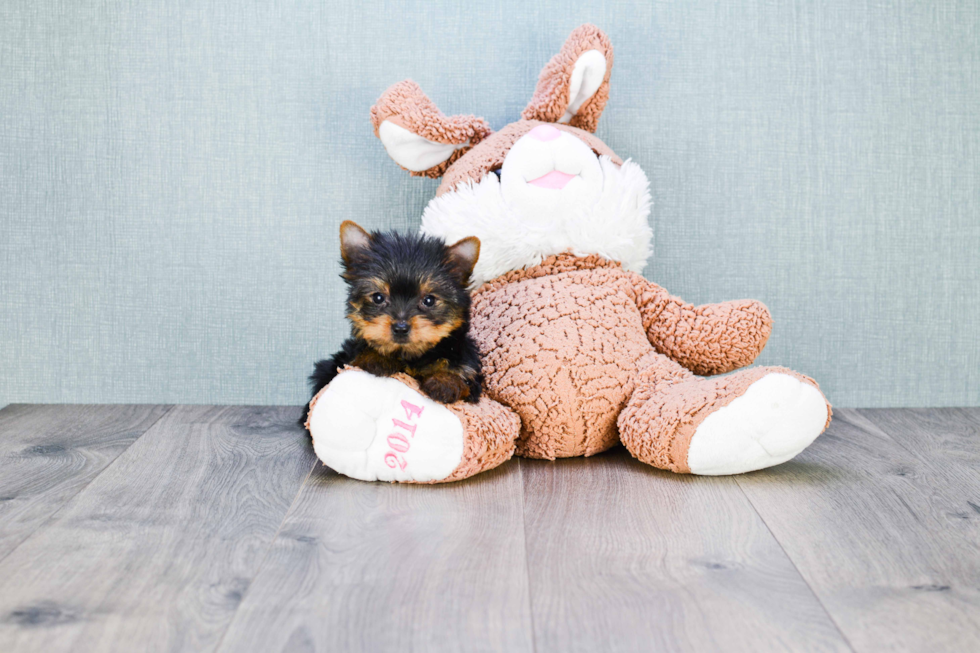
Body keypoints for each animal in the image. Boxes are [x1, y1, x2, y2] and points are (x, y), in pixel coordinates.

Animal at [300, 219, 480, 426]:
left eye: (429, 300)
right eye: (378, 297)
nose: (400, 327)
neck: (408, 355)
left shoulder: (468, 367)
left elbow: (461, 374)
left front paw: (446, 381)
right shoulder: (348, 358)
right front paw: (377, 358)